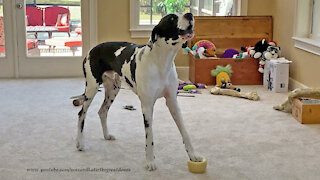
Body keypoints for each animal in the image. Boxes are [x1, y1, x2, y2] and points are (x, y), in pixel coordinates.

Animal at [76, 12, 201, 170]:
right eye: (172, 18)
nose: (190, 14)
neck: (161, 63)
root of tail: (91, 50)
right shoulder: (147, 107)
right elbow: (150, 136)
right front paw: (150, 161)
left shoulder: (173, 103)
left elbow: (185, 132)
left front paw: (193, 155)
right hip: (91, 89)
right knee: (81, 114)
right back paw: (80, 143)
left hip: (112, 90)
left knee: (102, 111)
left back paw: (106, 135)